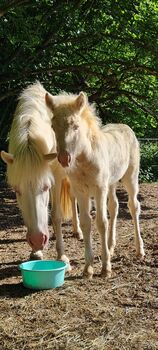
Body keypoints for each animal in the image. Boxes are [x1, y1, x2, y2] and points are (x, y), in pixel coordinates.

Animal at [0, 82, 82, 264]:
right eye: (17, 191)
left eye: (45, 187)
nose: (38, 240)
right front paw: (36, 252)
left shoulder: (55, 179)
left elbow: (56, 215)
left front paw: (61, 256)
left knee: (73, 197)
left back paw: (77, 231)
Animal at [45, 90, 144, 278]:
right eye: (53, 126)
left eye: (76, 126)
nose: (64, 158)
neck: (85, 159)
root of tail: (126, 127)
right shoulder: (81, 191)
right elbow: (86, 222)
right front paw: (88, 268)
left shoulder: (99, 189)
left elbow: (101, 222)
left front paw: (106, 267)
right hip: (111, 183)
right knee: (114, 206)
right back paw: (111, 246)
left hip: (130, 177)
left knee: (133, 206)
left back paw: (139, 249)